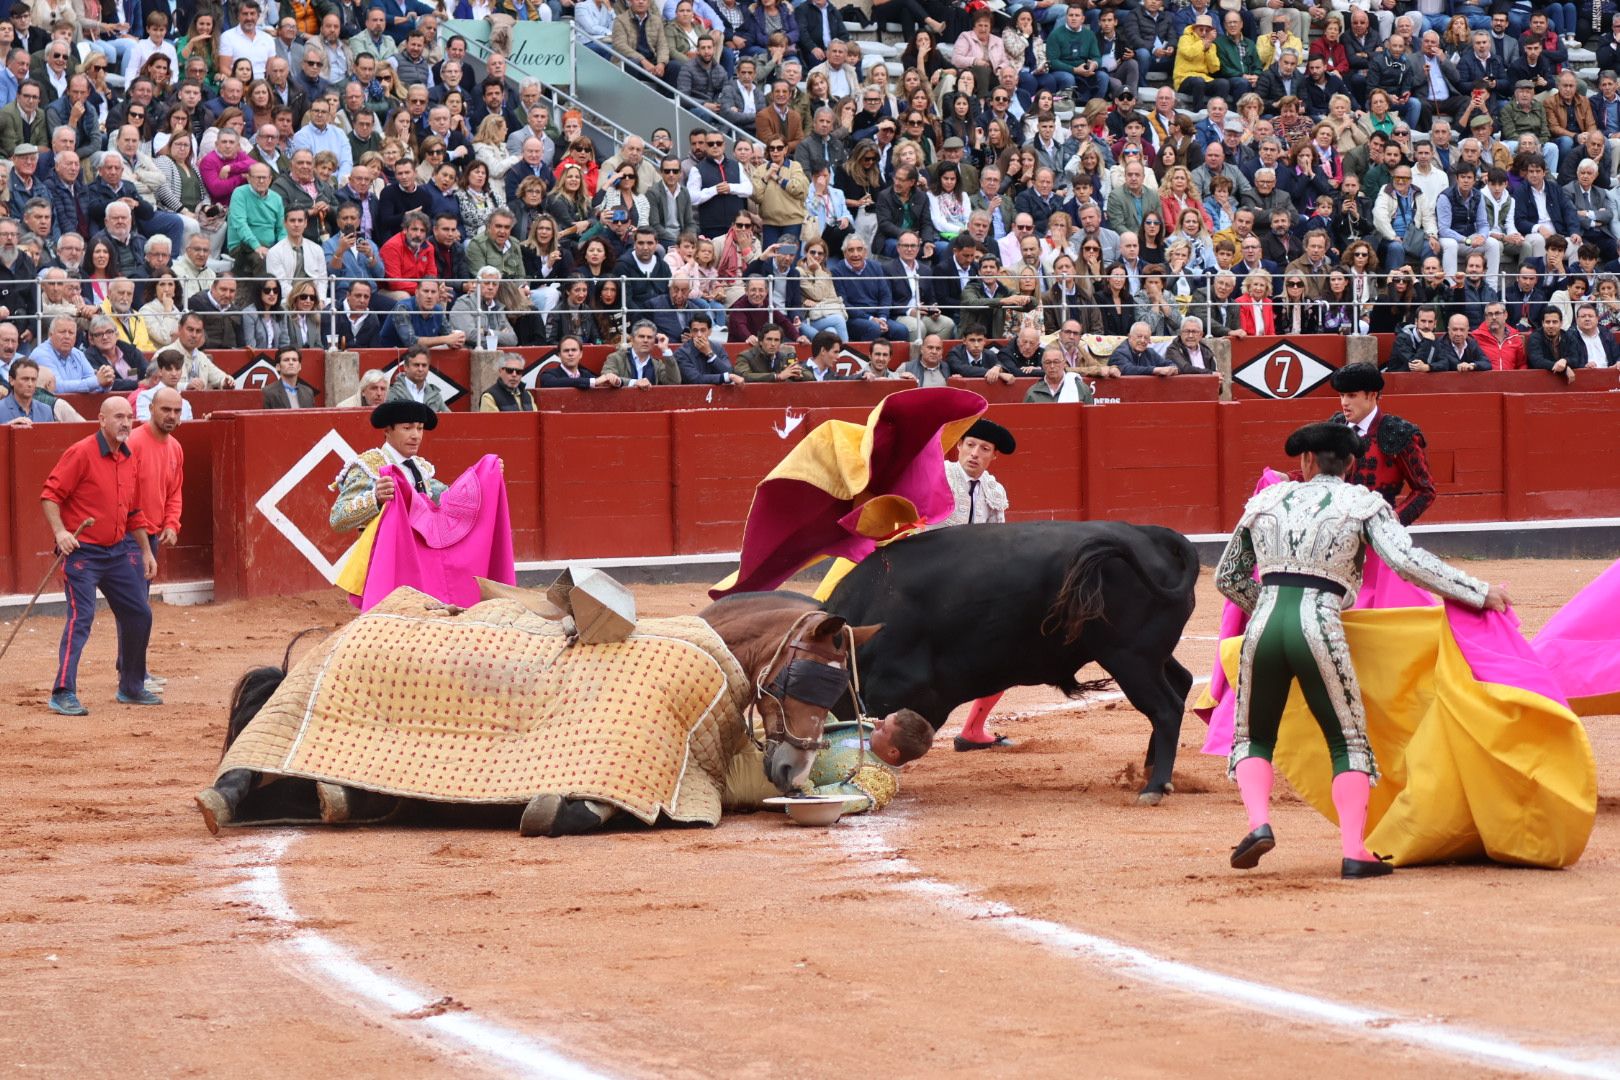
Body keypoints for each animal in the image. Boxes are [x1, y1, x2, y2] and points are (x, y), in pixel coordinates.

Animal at [797, 518, 1205, 806]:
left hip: (1130, 658)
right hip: (1149, 655)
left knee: (1165, 708)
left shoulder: (897, 688)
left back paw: (1154, 786)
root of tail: (1153, 536)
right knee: (1182, 683)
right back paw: (1152, 771)